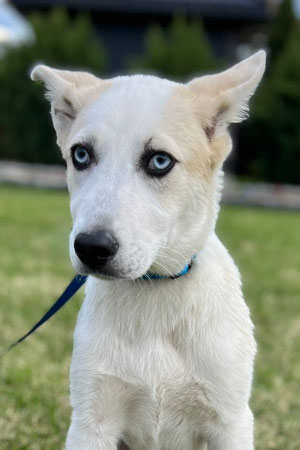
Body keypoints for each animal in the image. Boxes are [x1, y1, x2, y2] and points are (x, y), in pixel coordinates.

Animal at [30, 51, 264, 448]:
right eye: (81, 155)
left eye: (160, 161)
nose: (91, 248)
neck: (154, 293)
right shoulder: (92, 420)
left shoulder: (230, 420)